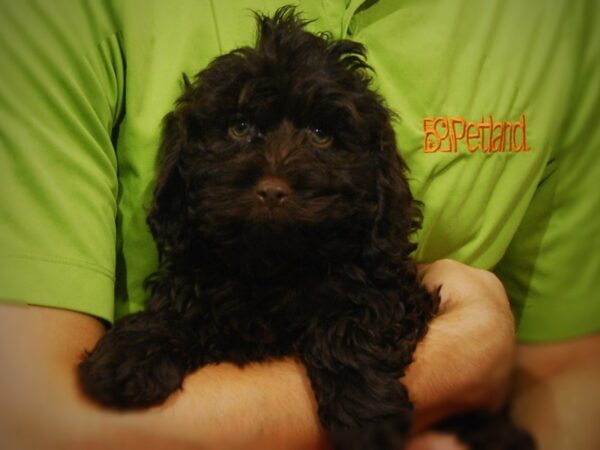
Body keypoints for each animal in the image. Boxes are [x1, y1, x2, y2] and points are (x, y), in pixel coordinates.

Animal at [79, 7, 536, 450]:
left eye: (320, 135)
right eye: (239, 127)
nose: (272, 191)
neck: (275, 268)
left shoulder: (389, 289)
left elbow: (351, 323)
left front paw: (366, 412)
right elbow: (181, 306)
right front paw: (132, 351)